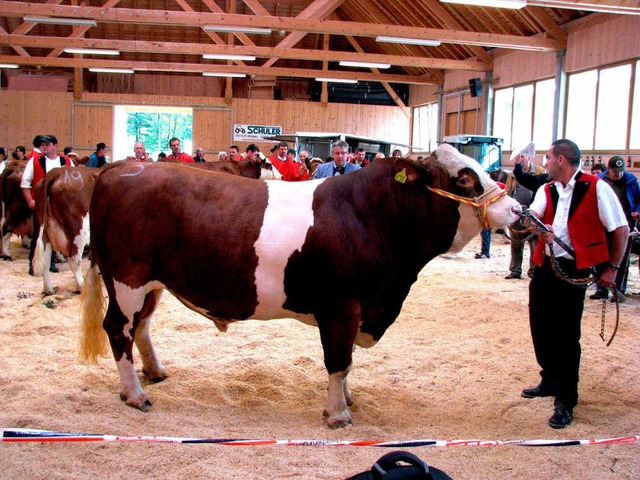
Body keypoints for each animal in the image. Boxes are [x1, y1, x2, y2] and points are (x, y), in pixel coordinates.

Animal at [80, 142, 520, 428]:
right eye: (464, 179)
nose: (516, 208)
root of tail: (120, 169)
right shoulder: (343, 306)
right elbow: (338, 360)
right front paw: (337, 414)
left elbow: (347, 363)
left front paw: (347, 399)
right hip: (126, 279)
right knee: (118, 329)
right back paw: (135, 394)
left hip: (152, 283)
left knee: (142, 326)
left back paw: (154, 372)